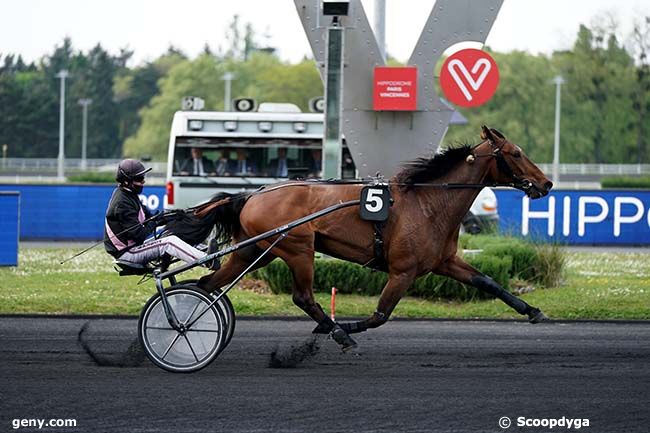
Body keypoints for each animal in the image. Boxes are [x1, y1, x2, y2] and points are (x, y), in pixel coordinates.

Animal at [178, 126, 552, 350]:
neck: (428, 201)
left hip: (256, 250)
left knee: (208, 284)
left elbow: (488, 282)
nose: (546, 183)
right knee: (303, 297)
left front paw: (533, 311)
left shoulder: (444, 261)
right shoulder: (403, 271)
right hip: (298, 249)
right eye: (516, 153)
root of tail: (251, 195)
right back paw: (337, 332)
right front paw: (342, 327)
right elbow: (379, 316)